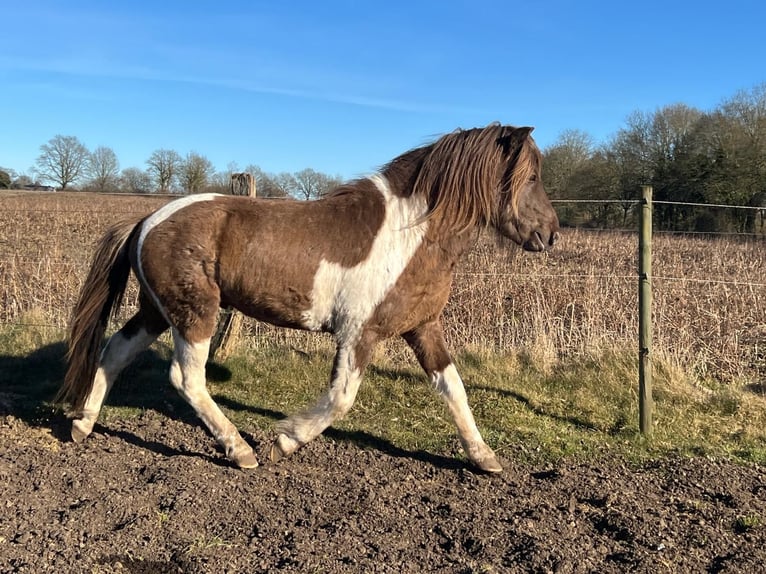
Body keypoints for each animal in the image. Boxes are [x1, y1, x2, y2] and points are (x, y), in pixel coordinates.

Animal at [57, 124, 560, 473]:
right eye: (531, 175)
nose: (550, 234)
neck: (412, 232)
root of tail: (146, 220)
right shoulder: (359, 332)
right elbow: (341, 398)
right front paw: (286, 441)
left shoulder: (422, 327)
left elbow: (453, 387)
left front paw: (484, 458)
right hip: (194, 313)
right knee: (186, 379)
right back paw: (240, 450)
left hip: (157, 311)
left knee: (114, 352)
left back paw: (82, 425)